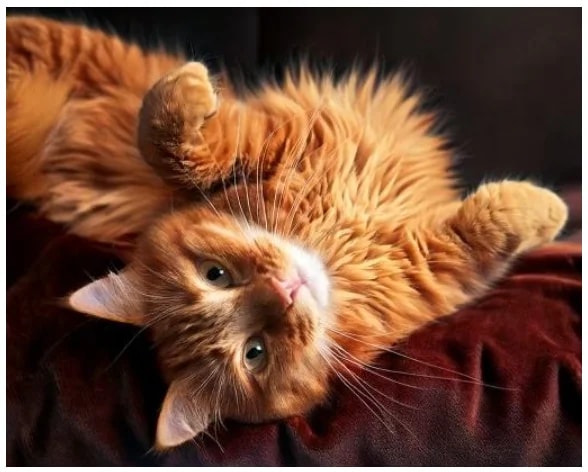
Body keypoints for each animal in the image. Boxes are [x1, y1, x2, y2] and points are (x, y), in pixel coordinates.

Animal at [6, 15, 568, 450]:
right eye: (255, 353)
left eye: (215, 276)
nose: (284, 290)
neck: (333, 240)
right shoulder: (434, 267)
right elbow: (487, 228)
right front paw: (550, 211)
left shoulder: (276, 138)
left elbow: (167, 141)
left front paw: (191, 92)